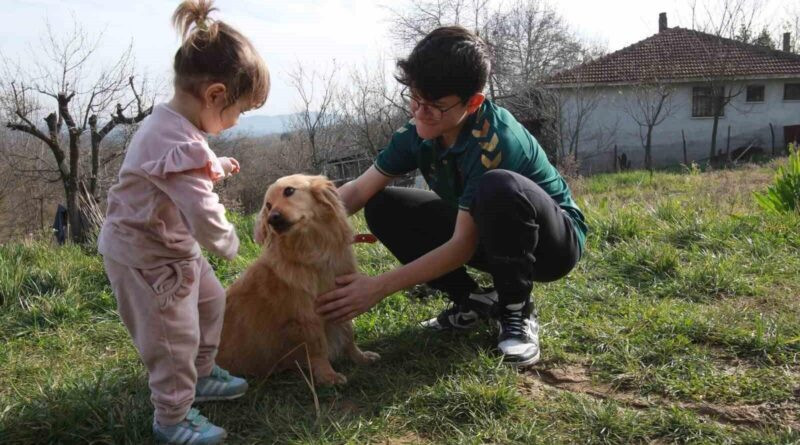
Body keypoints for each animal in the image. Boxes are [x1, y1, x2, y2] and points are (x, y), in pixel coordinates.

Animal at [217, 175, 380, 384]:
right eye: (268, 205)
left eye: (289, 191)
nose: (272, 218)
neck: (313, 252)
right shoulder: (307, 318)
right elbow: (319, 348)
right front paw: (328, 376)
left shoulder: (342, 299)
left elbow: (348, 334)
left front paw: (360, 358)